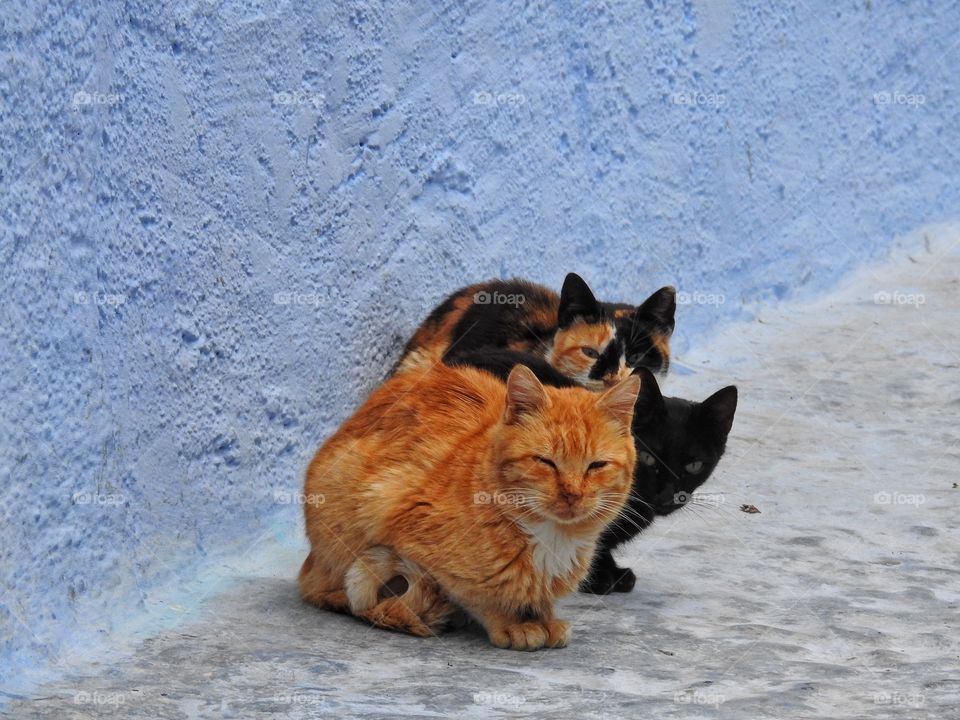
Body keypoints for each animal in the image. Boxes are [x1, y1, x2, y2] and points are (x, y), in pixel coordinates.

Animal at [298, 362, 644, 648]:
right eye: (545, 462)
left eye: (596, 466)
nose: (572, 494)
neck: (552, 537)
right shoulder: (398, 514)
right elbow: (473, 593)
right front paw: (511, 623)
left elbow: (537, 598)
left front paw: (542, 617)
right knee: (321, 589)